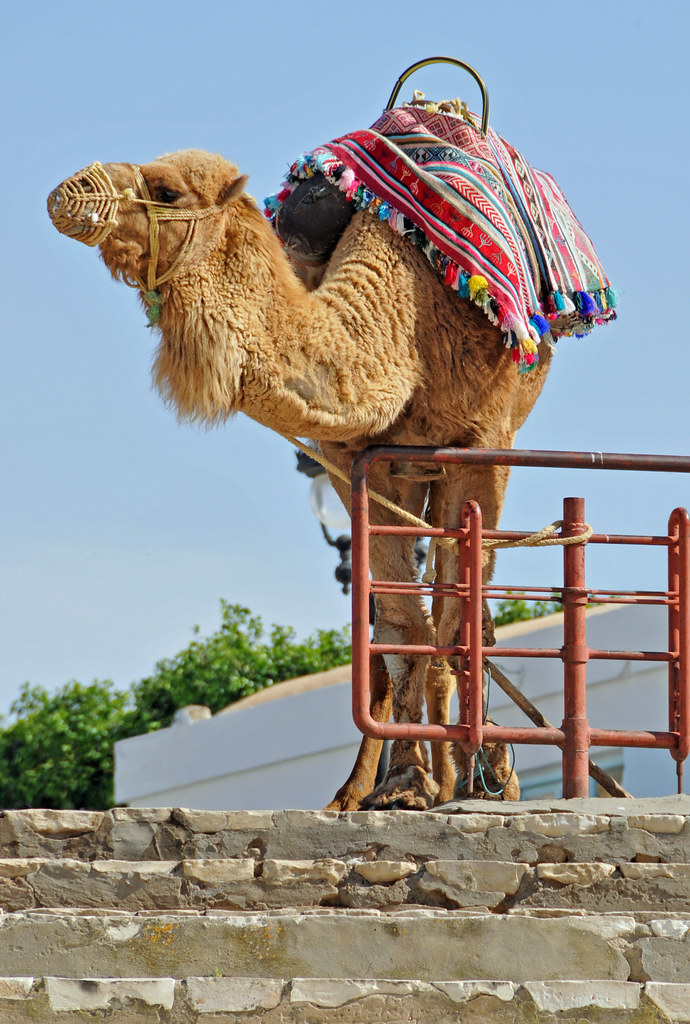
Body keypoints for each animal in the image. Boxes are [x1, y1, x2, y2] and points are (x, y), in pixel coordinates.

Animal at [48, 148, 552, 811]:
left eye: (167, 189)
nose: (70, 190)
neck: (403, 325)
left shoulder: (485, 442)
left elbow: (457, 616)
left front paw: (458, 781)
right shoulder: (355, 457)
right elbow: (399, 626)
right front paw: (402, 785)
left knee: (462, 604)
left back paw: (476, 775)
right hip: (417, 472)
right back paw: (376, 789)